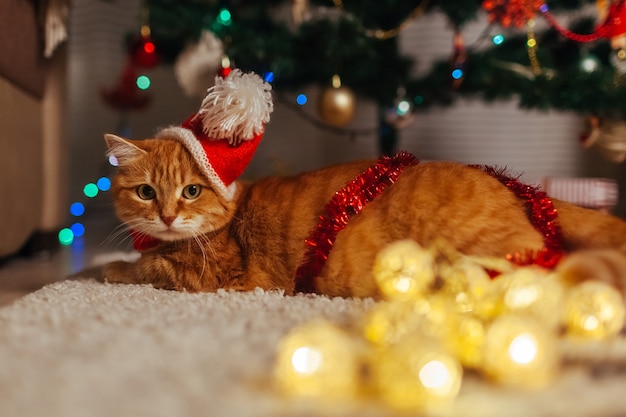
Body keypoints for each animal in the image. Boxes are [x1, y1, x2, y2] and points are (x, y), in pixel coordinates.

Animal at [102, 135, 624, 298]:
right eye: (147, 193)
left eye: (191, 191)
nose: (168, 216)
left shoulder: (210, 276)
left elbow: (147, 267)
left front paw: (110, 269)